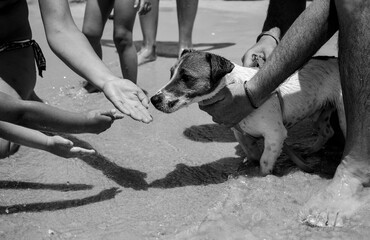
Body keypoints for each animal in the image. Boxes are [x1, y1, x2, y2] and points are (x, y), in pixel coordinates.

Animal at [150, 49, 346, 175]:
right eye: (171, 73)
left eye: (187, 77)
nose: (153, 99)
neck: (235, 87)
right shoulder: (243, 135)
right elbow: (253, 156)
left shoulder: (275, 135)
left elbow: (264, 163)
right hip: (320, 113)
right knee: (327, 132)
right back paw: (310, 150)